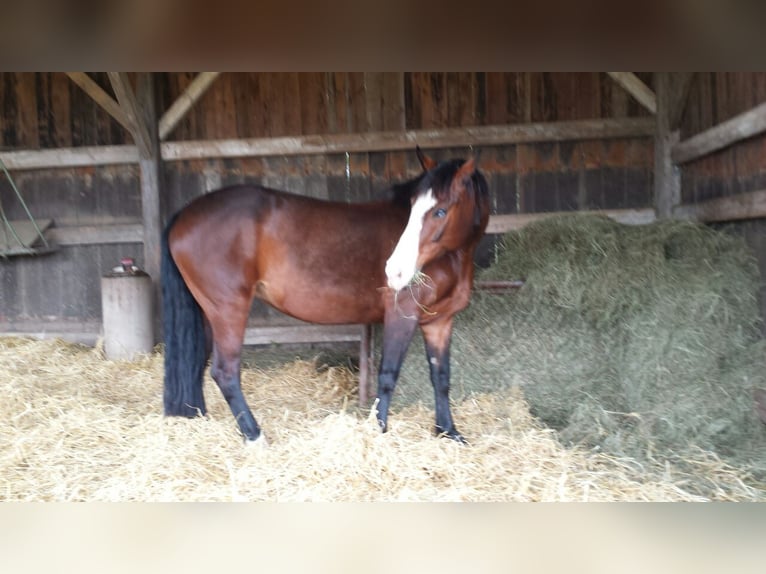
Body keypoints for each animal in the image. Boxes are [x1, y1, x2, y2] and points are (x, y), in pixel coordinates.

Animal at [164, 150, 492, 446]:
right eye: (412, 209)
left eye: (440, 211)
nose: (395, 271)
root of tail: (184, 214)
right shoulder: (402, 315)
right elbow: (388, 375)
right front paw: (379, 431)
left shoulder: (440, 322)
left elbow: (441, 378)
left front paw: (448, 432)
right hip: (229, 310)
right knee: (225, 371)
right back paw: (255, 436)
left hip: (210, 313)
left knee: (199, 365)